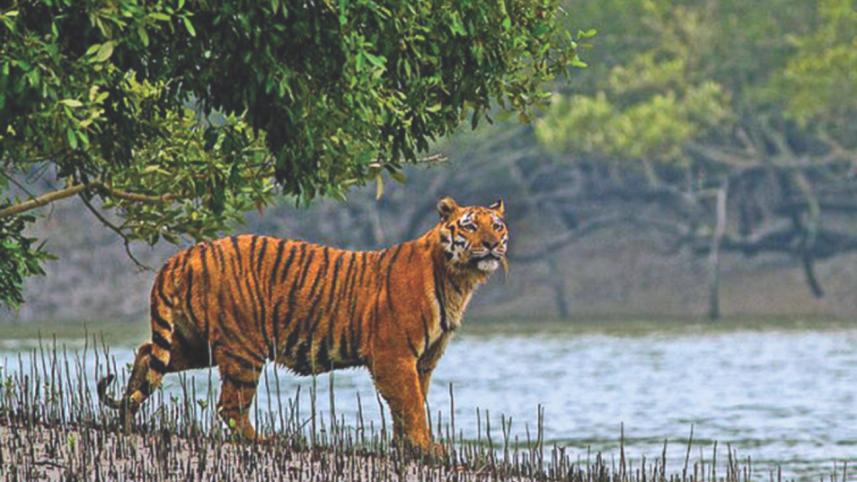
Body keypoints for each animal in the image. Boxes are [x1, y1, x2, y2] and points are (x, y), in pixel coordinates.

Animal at [98, 196, 508, 452]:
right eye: (469, 227)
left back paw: (127, 417)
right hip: (243, 349)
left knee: (147, 353)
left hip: (195, 342)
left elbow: (411, 403)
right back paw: (263, 441)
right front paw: (426, 448)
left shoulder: (423, 360)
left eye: (498, 226)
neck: (458, 279)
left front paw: (407, 447)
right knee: (230, 406)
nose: (491, 244)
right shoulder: (394, 355)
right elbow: (410, 405)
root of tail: (185, 254)